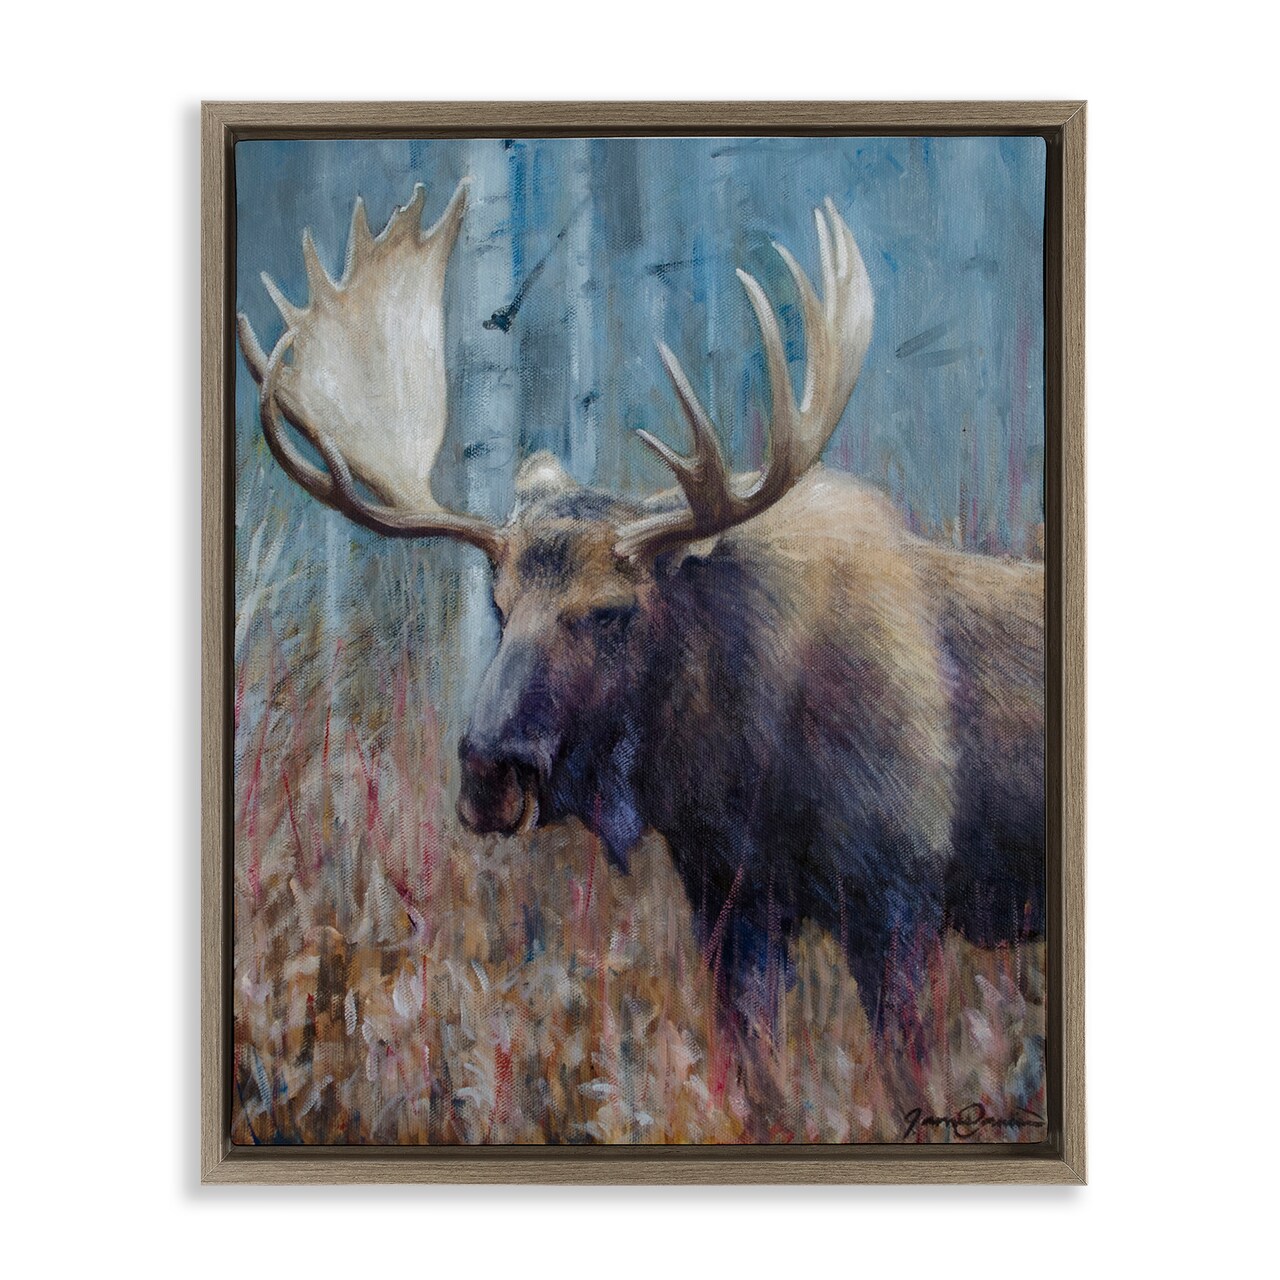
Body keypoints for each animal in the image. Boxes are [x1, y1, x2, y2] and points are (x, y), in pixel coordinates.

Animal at [237, 178, 1045, 1058]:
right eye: (497, 604)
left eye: (612, 612)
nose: (489, 768)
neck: (732, 767)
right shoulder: (730, 899)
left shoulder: (899, 893)